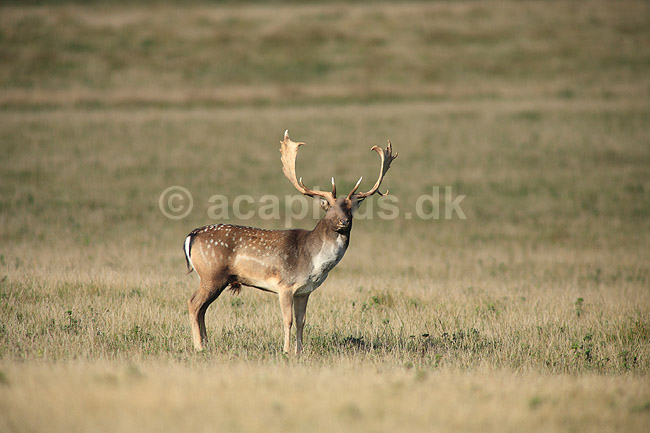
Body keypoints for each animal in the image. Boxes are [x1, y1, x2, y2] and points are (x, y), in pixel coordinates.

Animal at [183, 130, 397, 354]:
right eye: (328, 206)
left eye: (350, 207)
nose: (343, 221)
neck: (314, 261)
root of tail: (191, 236)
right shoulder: (284, 284)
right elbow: (288, 320)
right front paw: (286, 351)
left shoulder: (304, 290)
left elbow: (302, 321)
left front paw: (299, 351)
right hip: (211, 274)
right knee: (193, 303)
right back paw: (199, 346)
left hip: (216, 279)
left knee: (202, 308)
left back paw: (206, 343)